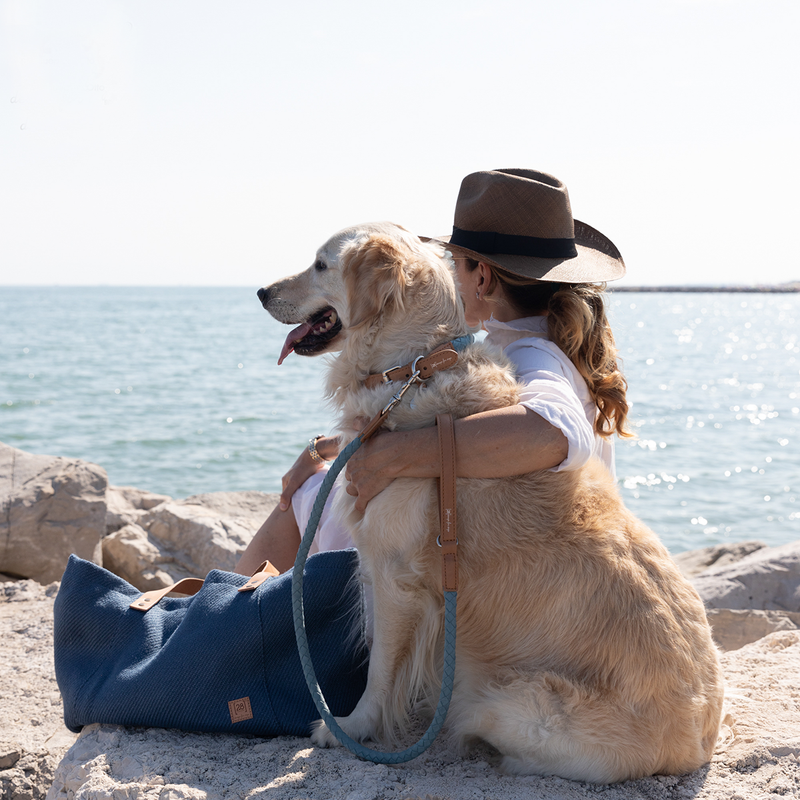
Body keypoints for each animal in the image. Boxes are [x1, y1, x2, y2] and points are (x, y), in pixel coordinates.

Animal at [258, 222, 724, 784]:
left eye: (321, 265)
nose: (260, 292)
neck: (413, 369)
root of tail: (698, 746)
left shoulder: (395, 577)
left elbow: (379, 668)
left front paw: (352, 727)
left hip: (508, 702)